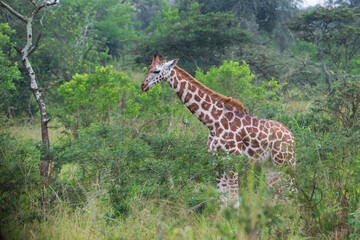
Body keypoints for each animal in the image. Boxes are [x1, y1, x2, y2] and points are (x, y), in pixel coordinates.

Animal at [141, 53, 296, 207]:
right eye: (148, 68)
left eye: (157, 71)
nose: (143, 86)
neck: (213, 122)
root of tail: (292, 137)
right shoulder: (217, 160)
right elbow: (222, 200)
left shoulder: (233, 159)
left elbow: (234, 201)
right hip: (271, 166)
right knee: (278, 196)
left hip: (285, 162)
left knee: (291, 193)